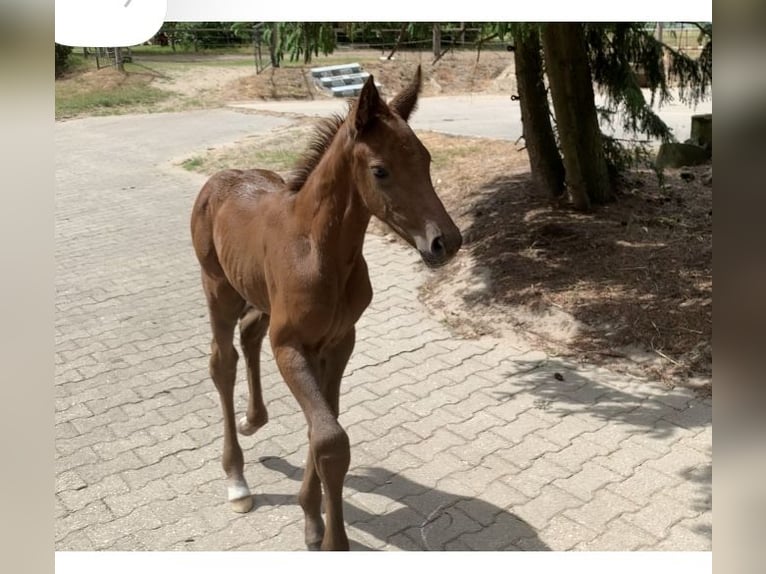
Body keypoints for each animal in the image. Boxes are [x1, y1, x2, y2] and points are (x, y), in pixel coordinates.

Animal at [190, 66, 462, 551]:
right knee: (223, 362)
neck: (320, 251)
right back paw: (237, 479)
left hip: (258, 296)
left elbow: (323, 429)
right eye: (380, 170)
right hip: (217, 287)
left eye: (428, 161)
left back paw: (253, 420)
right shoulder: (290, 346)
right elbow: (331, 439)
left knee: (250, 331)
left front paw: (311, 518)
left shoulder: (338, 342)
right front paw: (332, 537)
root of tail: (220, 177)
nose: (444, 242)